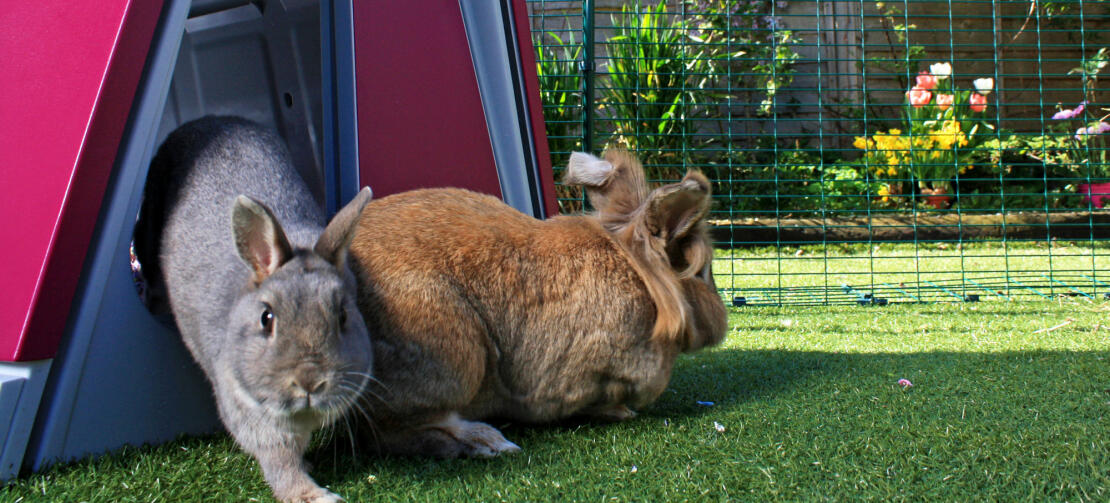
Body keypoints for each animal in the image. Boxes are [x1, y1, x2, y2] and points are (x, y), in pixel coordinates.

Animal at [133, 115, 377, 499]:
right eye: (267, 318)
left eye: (342, 316)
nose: (309, 381)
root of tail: (213, 120)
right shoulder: (249, 411)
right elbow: (280, 461)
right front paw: (313, 495)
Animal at [348, 148, 728, 455]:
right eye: (700, 273)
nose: (722, 325)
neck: (639, 273)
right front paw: (621, 412)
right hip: (457, 353)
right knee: (393, 431)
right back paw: (487, 443)